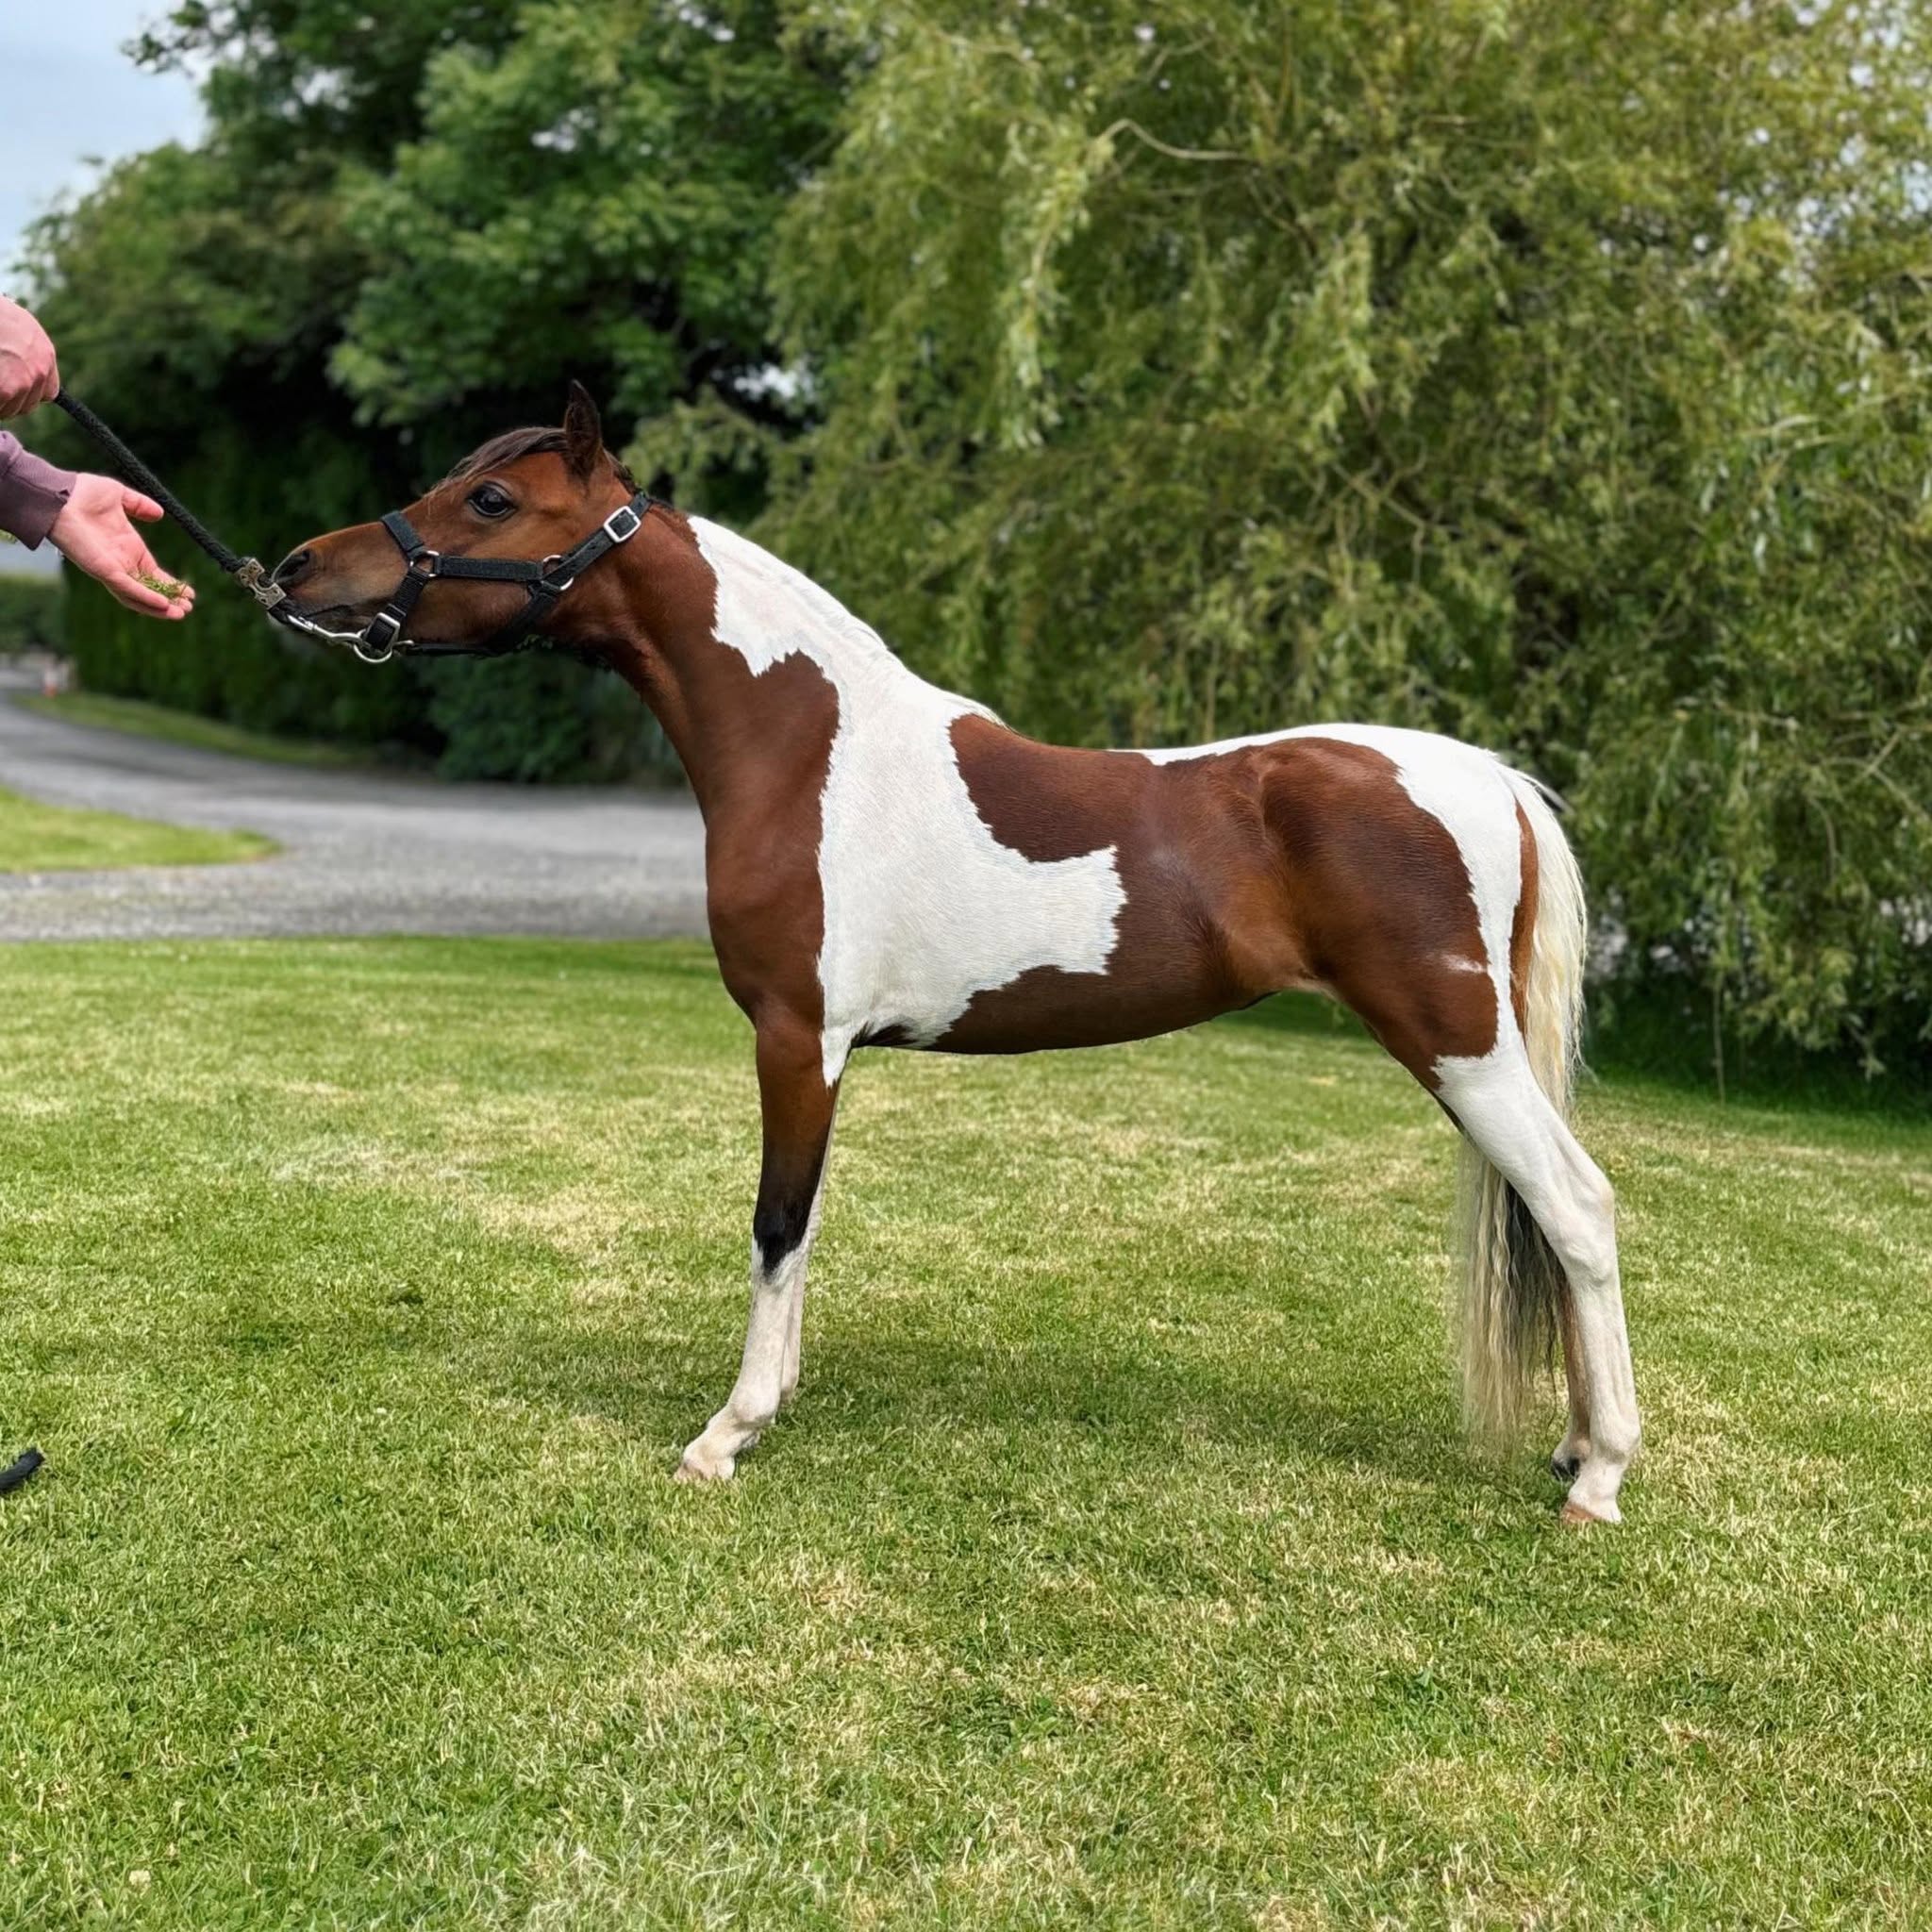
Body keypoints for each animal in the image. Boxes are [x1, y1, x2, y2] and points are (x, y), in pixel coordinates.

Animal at [271, 385, 1640, 1525]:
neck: (811, 752)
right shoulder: (826, 1051)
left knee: (1575, 1206)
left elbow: (775, 1221)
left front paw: (728, 1433)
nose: (294, 568)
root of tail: (1489, 780)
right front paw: (778, 1402)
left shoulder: (796, 1037)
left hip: (1458, 1047)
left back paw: (1601, 1476)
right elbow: (808, 1220)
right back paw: (1574, 1448)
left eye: (492, 501)